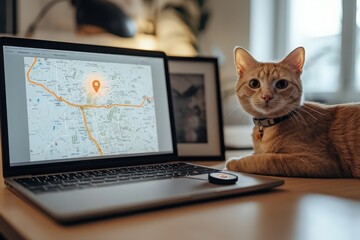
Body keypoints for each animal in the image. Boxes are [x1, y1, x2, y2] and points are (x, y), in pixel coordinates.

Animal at [226, 47, 360, 178]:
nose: (267, 96)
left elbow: (264, 159)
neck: (269, 126)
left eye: (282, 84)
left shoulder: (317, 162)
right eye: (254, 83)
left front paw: (234, 161)